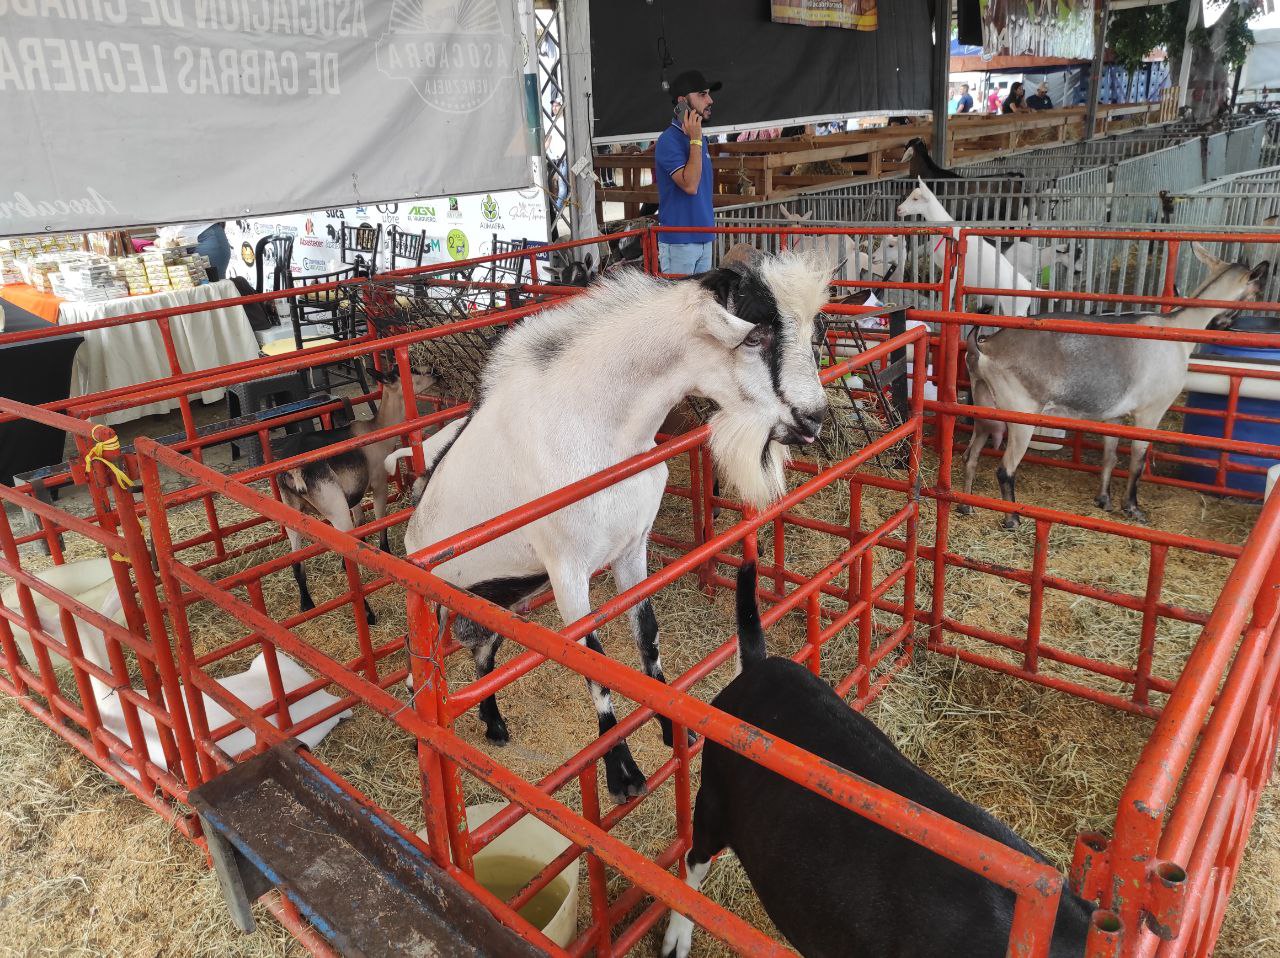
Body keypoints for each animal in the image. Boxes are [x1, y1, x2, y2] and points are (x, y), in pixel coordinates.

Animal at [404, 248, 834, 799]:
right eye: (755, 337)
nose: (814, 418)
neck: (600, 429)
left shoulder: (632, 546)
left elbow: (646, 636)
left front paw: (673, 728)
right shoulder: (567, 570)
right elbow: (593, 658)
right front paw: (622, 772)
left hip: (500, 600)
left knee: (483, 655)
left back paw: (495, 724)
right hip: (440, 608)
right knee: (420, 675)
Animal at [962, 239, 1264, 525]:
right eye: (1256, 293)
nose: (1225, 324)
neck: (1179, 330)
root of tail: (985, 348)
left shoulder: (1113, 415)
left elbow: (1110, 456)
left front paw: (1103, 499)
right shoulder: (1151, 412)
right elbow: (1137, 461)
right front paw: (1133, 508)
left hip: (983, 407)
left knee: (971, 456)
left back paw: (968, 505)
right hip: (1021, 413)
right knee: (1005, 469)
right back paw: (1012, 519)